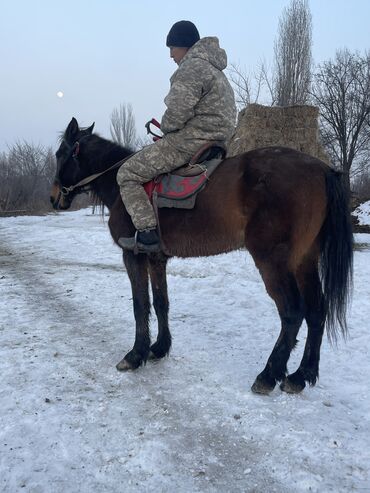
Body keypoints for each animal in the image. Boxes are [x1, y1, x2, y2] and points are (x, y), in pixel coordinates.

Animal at [49, 117, 352, 394]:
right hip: (304, 260)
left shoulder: (132, 255)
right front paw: (159, 348)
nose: (53, 198)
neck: (121, 185)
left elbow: (140, 305)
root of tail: (322, 169)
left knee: (292, 312)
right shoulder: (156, 258)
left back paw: (269, 374)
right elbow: (161, 302)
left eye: (60, 154)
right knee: (316, 311)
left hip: (273, 261)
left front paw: (135, 355)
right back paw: (302, 375)